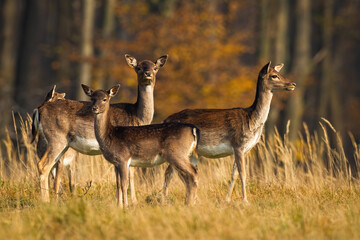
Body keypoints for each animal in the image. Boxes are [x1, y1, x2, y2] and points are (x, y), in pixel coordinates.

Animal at [32, 54, 167, 202]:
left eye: (155, 68)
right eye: (138, 68)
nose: (148, 74)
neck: (137, 116)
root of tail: (39, 109)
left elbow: (119, 179)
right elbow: (130, 175)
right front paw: (133, 202)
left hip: (60, 144)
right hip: (57, 138)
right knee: (43, 166)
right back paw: (46, 201)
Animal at [163, 61, 296, 202]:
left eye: (279, 73)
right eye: (274, 76)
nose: (293, 84)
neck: (251, 120)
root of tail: (165, 119)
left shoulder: (246, 149)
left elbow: (234, 174)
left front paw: (227, 199)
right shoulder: (238, 144)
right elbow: (243, 174)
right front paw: (245, 200)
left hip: (193, 153)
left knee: (183, 172)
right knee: (169, 172)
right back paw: (164, 199)